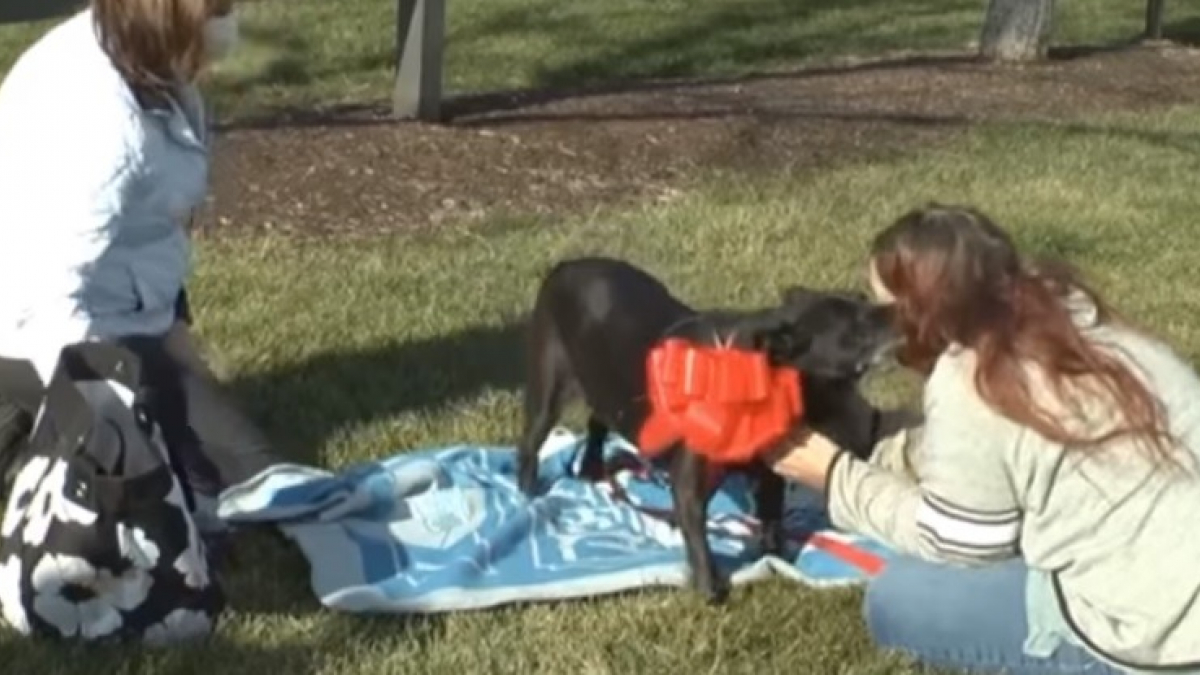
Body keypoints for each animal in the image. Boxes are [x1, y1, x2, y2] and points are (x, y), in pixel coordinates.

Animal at [511, 254, 897, 600]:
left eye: (862, 299)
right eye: (856, 329)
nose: (896, 308)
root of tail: (564, 266)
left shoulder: (768, 473)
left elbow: (772, 519)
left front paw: (775, 559)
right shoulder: (689, 486)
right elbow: (698, 535)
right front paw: (710, 587)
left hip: (606, 385)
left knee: (597, 422)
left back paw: (591, 467)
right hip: (548, 389)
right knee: (530, 444)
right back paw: (530, 493)